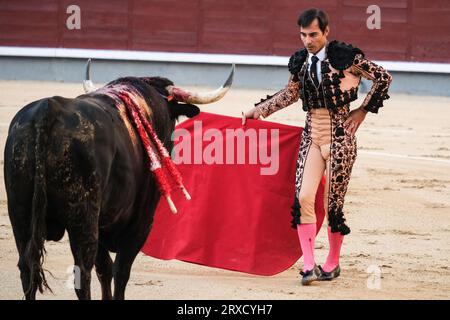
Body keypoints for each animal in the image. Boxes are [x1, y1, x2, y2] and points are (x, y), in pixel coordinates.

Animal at [3, 65, 234, 300]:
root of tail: (48, 110)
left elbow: (105, 268)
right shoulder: (141, 223)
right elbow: (121, 270)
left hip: (20, 213)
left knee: (27, 268)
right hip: (82, 216)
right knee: (82, 273)